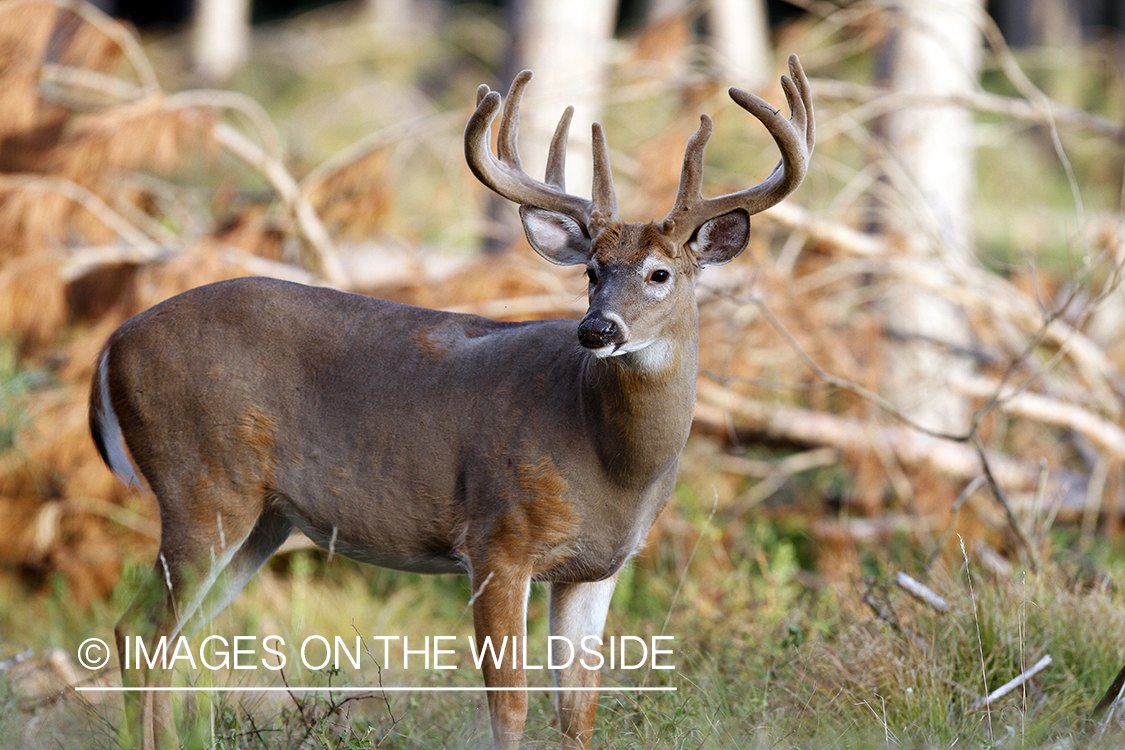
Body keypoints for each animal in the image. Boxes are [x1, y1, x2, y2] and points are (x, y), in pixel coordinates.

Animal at [87, 54, 810, 750]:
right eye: (590, 271)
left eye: (659, 273)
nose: (596, 329)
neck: (610, 460)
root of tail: (112, 343)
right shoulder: (496, 537)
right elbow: (510, 708)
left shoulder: (595, 569)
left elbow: (578, 713)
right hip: (200, 483)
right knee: (137, 630)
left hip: (261, 518)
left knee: (173, 638)